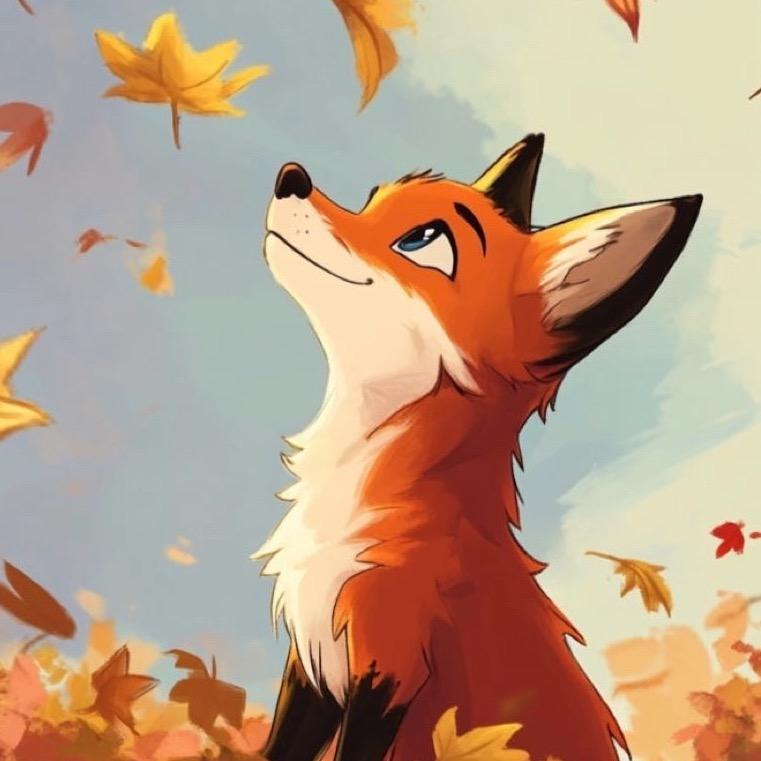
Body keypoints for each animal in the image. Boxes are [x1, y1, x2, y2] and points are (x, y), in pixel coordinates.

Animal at [253, 134, 702, 761]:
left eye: (421, 239)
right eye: (371, 199)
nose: (291, 177)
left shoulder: (388, 661)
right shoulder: (313, 655)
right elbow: (277, 747)